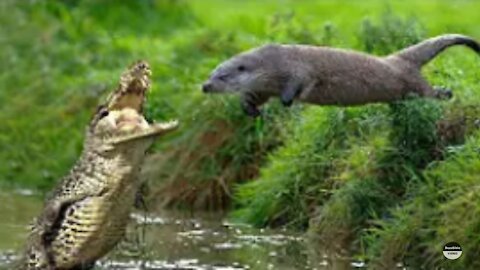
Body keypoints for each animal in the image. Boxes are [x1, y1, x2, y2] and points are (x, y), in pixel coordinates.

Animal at [202, 33, 480, 116]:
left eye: (223, 77)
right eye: (211, 73)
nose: (205, 86)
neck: (272, 65)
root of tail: (397, 59)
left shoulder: (296, 69)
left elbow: (299, 82)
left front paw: (287, 101)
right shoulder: (263, 86)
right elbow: (254, 97)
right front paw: (250, 110)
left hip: (411, 82)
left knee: (428, 92)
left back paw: (446, 94)